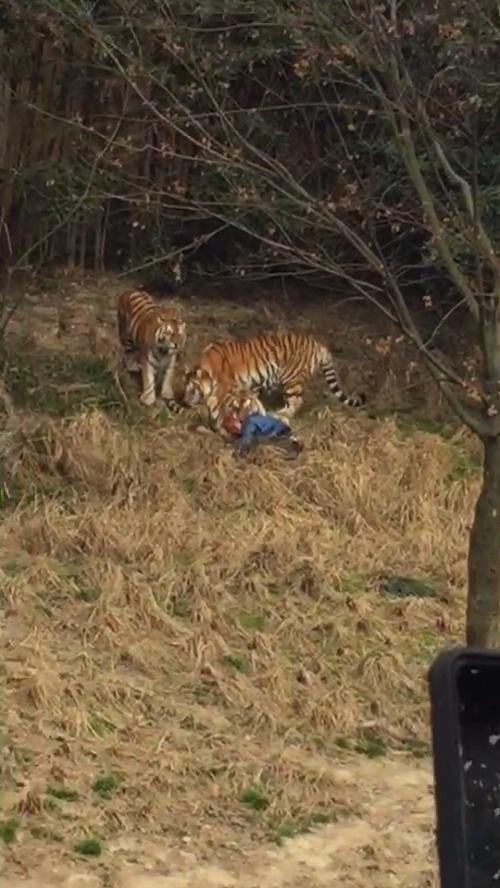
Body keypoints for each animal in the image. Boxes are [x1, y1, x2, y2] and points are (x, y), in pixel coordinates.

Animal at [184, 332, 365, 423]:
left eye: (190, 389)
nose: (185, 401)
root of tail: (319, 345)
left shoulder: (224, 386)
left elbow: (217, 401)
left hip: (291, 378)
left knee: (297, 401)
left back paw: (280, 414)